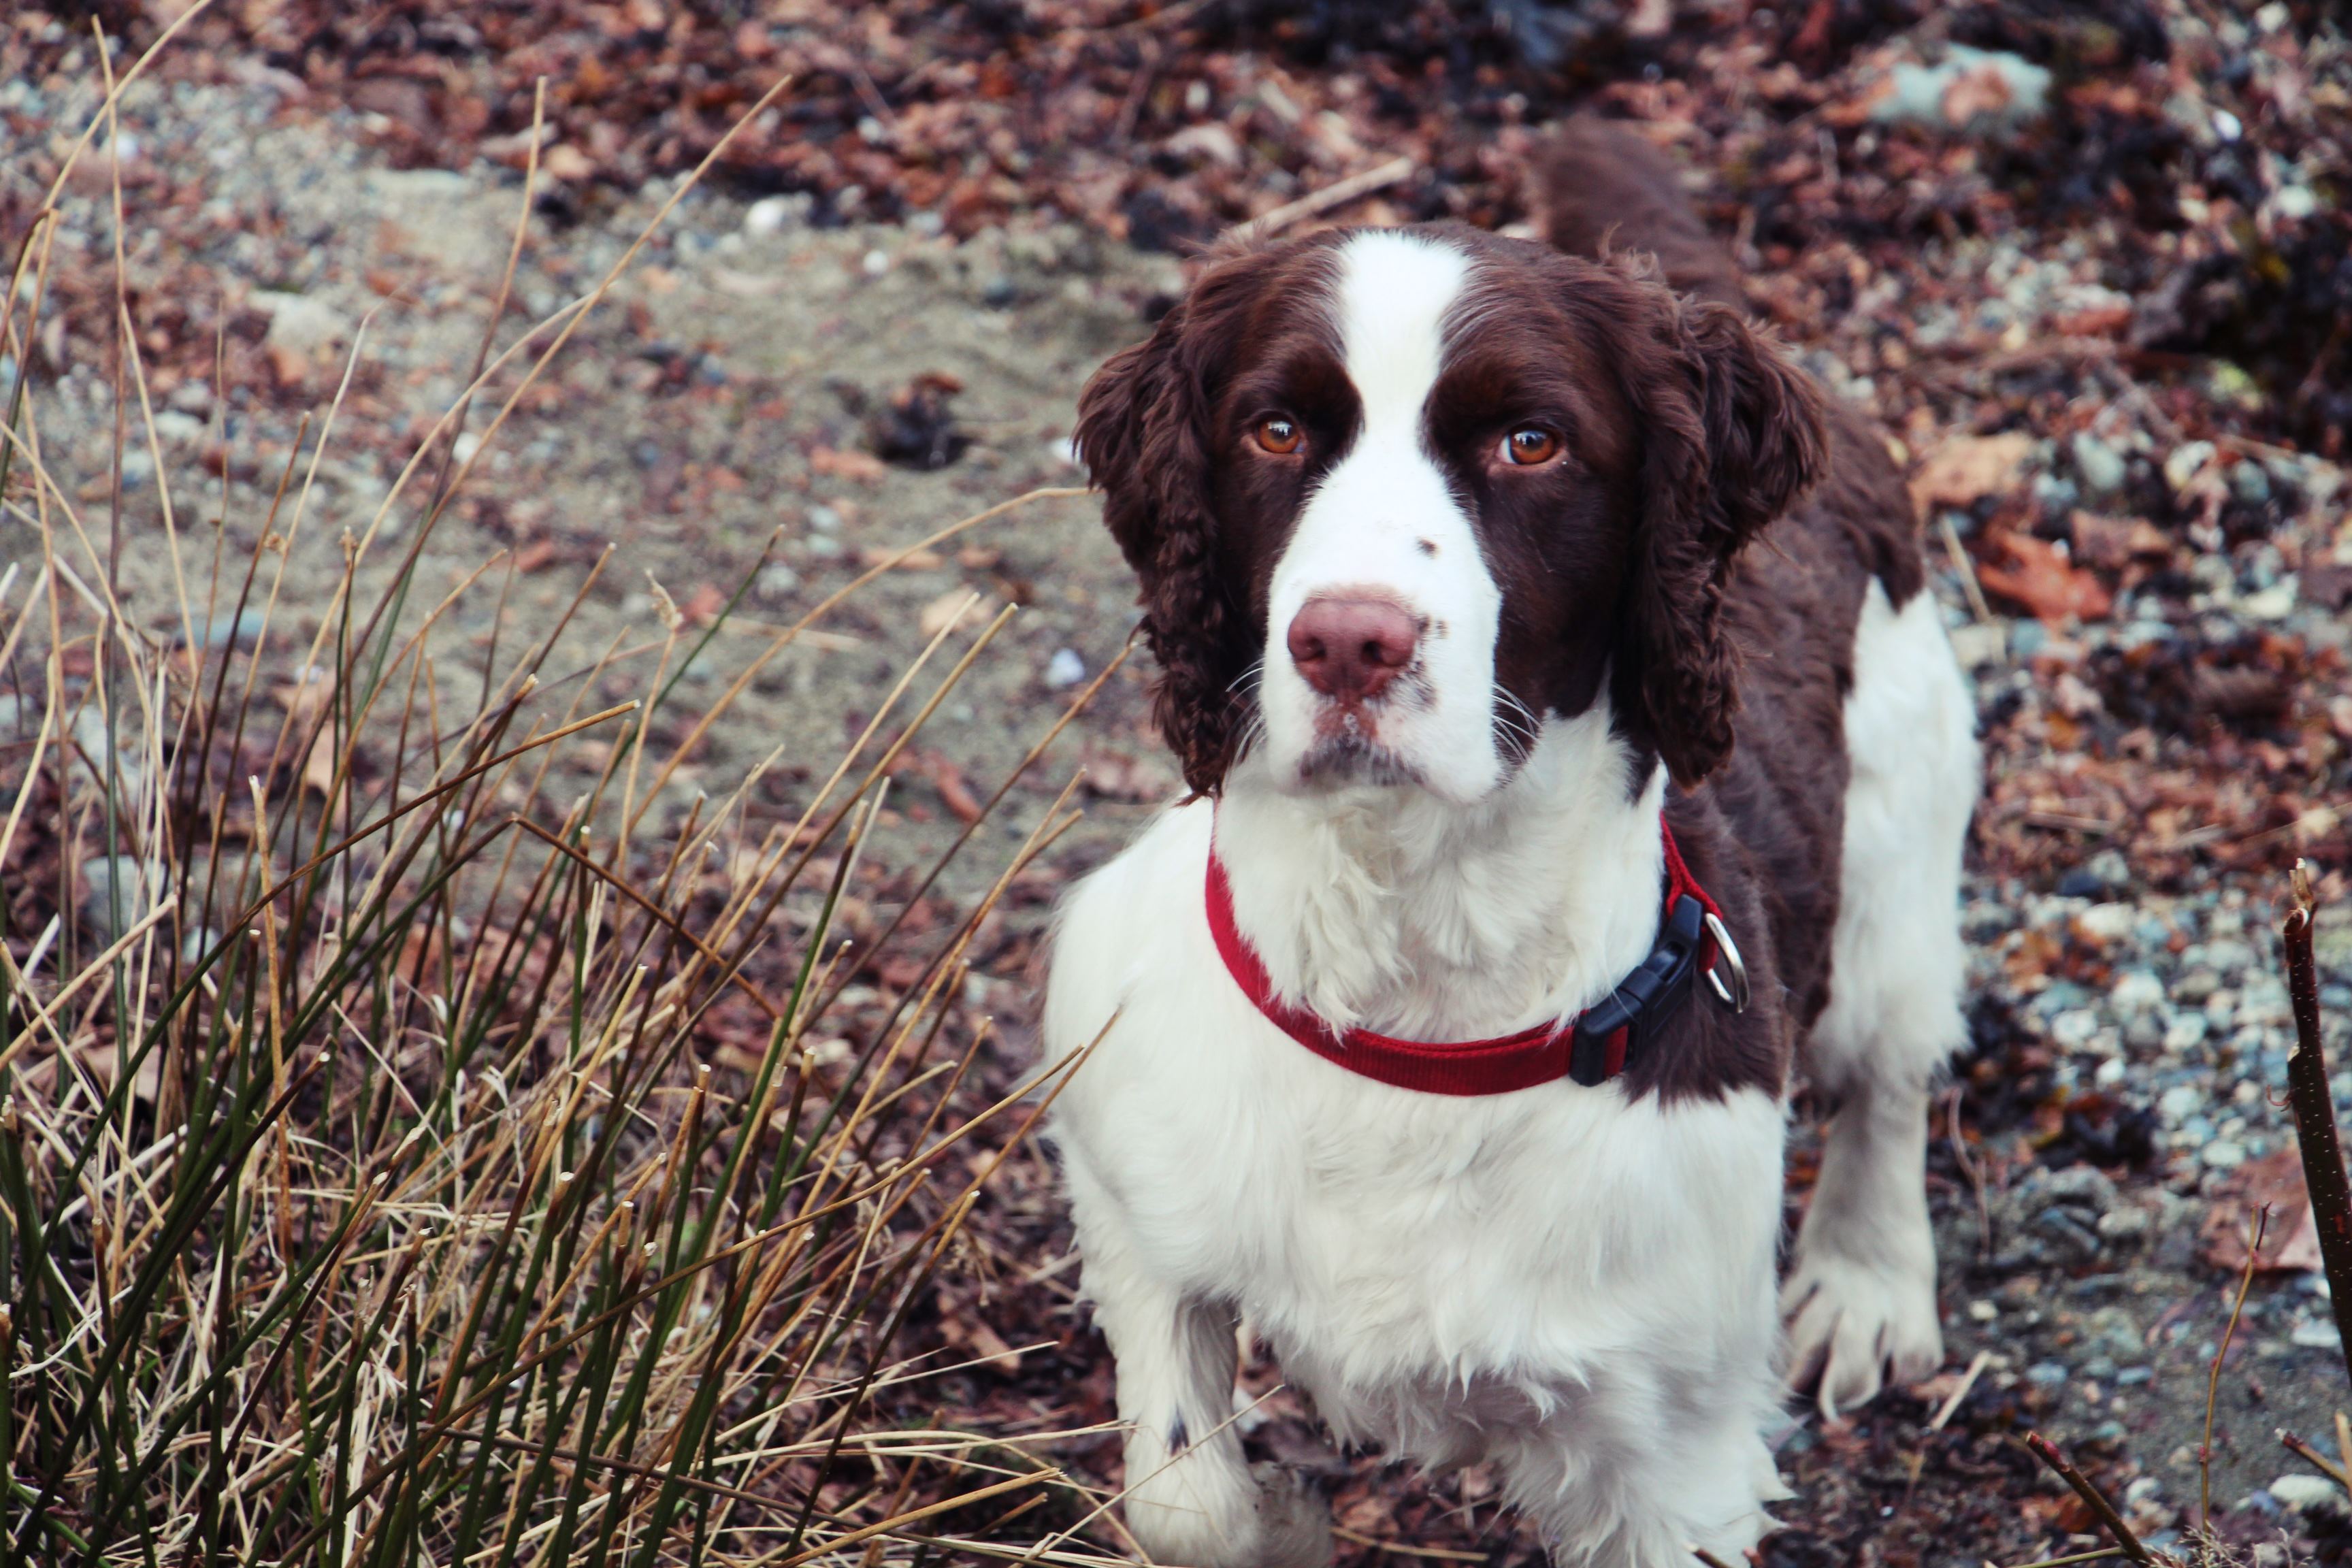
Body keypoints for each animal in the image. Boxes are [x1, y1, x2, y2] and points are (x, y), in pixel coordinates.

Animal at [1040, 120, 1979, 1567]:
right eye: (1273, 428)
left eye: (1532, 441)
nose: (1348, 640)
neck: (1417, 985)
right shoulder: (1126, 1175)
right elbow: (1184, 1500)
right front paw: (1283, 1517)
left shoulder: (1676, 1453)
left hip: (1899, 838)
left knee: (1887, 1070)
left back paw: (1867, 1279)